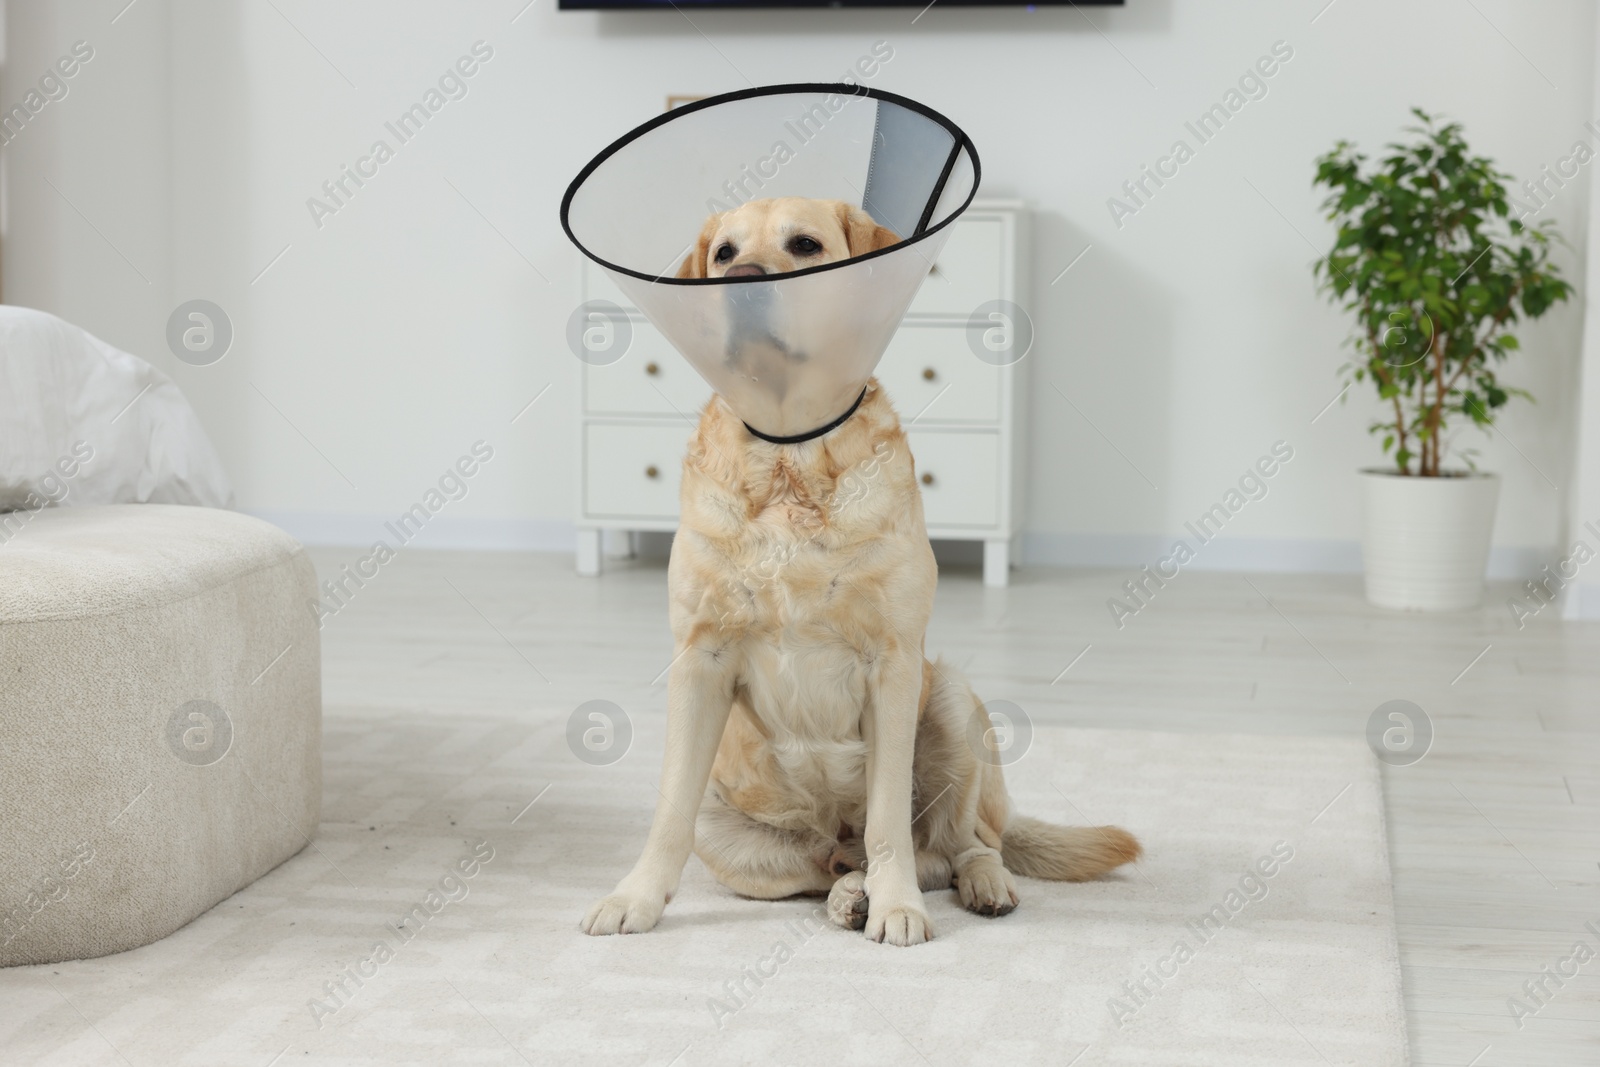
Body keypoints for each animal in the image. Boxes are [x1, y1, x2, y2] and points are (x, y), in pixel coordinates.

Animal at [579, 195, 1139, 947]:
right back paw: (848, 894)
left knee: (957, 844)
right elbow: (668, 812)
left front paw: (898, 905)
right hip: (734, 835)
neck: (790, 458)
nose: (744, 282)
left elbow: (889, 822)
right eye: (725, 253)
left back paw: (973, 884)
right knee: (826, 862)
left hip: (952, 701)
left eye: (805, 244)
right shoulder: (699, 659)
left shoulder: (893, 663)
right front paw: (635, 897)